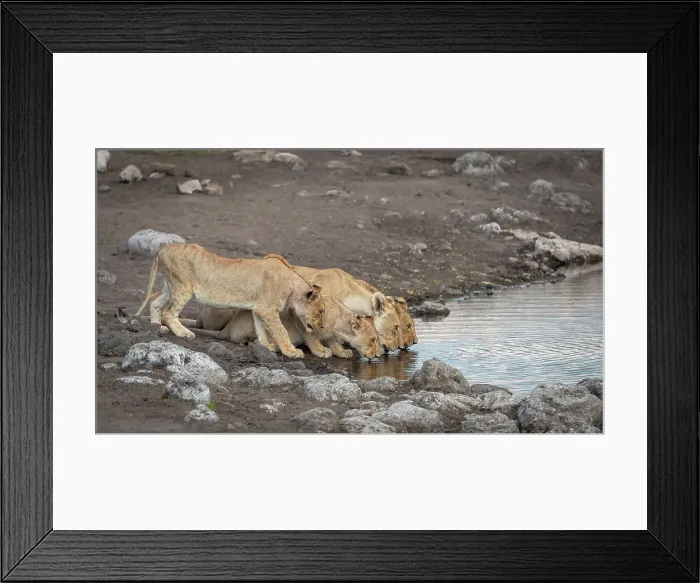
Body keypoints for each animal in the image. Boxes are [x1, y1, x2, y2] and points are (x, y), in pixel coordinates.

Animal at [135, 244, 324, 359]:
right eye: (321, 311)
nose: (322, 326)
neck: (292, 283)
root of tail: (165, 247)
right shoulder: (268, 309)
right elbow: (280, 331)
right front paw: (291, 351)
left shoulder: (259, 308)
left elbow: (260, 329)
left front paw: (266, 347)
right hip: (183, 288)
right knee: (168, 313)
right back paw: (183, 333)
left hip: (171, 286)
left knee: (155, 300)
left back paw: (157, 327)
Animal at [186, 296, 381, 359]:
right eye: (372, 340)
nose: (377, 355)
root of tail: (226, 329)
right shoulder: (299, 317)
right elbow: (311, 338)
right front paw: (320, 351)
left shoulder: (329, 333)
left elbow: (332, 340)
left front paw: (341, 351)